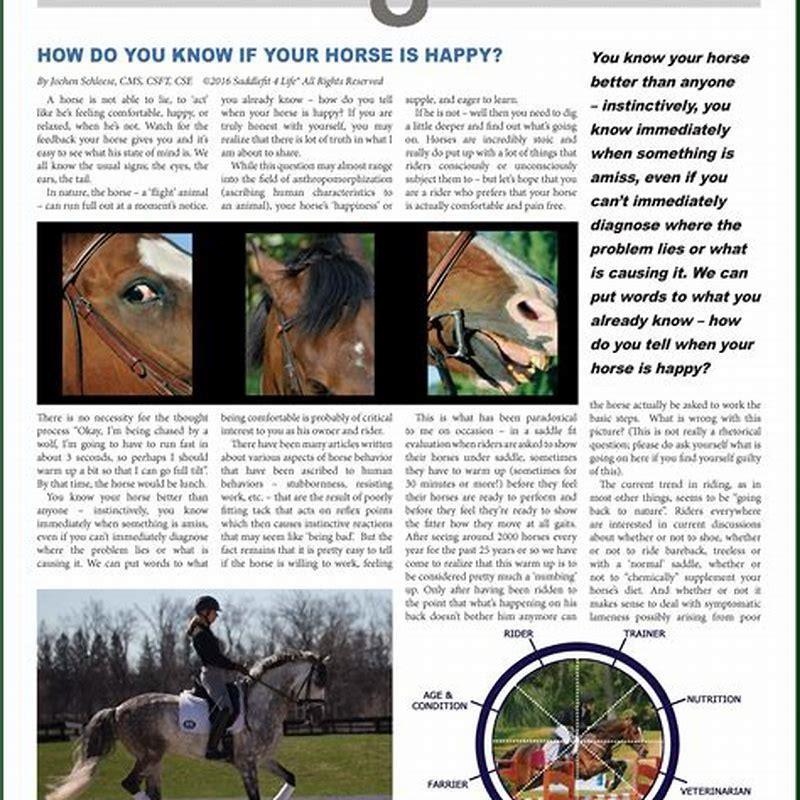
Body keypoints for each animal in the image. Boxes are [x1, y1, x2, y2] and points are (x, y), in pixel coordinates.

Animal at [46, 650, 328, 800]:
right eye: (318, 681)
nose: (316, 716)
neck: (260, 703)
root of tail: (118, 709)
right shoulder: (246, 763)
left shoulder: (263, 759)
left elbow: (291, 778)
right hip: (149, 756)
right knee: (130, 784)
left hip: (154, 760)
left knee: (151, 792)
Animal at [499, 716, 648, 797]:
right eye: (635, 732)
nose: (645, 751)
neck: (598, 740)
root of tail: (518, 749)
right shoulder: (591, 768)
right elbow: (616, 764)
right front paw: (612, 784)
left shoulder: (603, 763)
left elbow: (622, 764)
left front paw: (612, 784)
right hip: (524, 780)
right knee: (510, 786)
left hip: (534, 782)